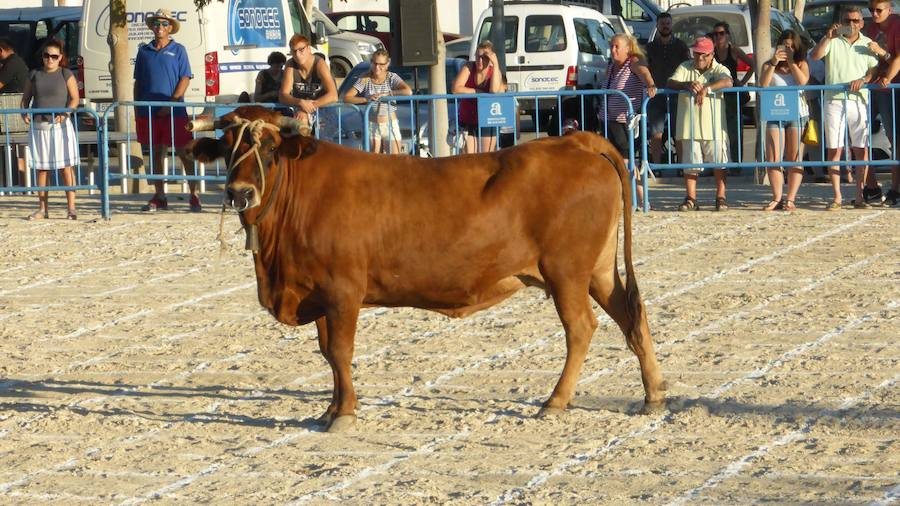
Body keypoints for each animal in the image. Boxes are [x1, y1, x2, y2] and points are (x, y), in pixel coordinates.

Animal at [186, 106, 665, 432]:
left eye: (267, 149)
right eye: (227, 148)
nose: (239, 192)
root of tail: (575, 141)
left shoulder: (343, 291)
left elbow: (340, 352)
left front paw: (344, 413)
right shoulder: (319, 294)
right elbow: (327, 354)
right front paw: (330, 408)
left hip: (566, 273)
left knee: (581, 328)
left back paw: (556, 400)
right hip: (598, 272)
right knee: (632, 317)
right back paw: (654, 394)